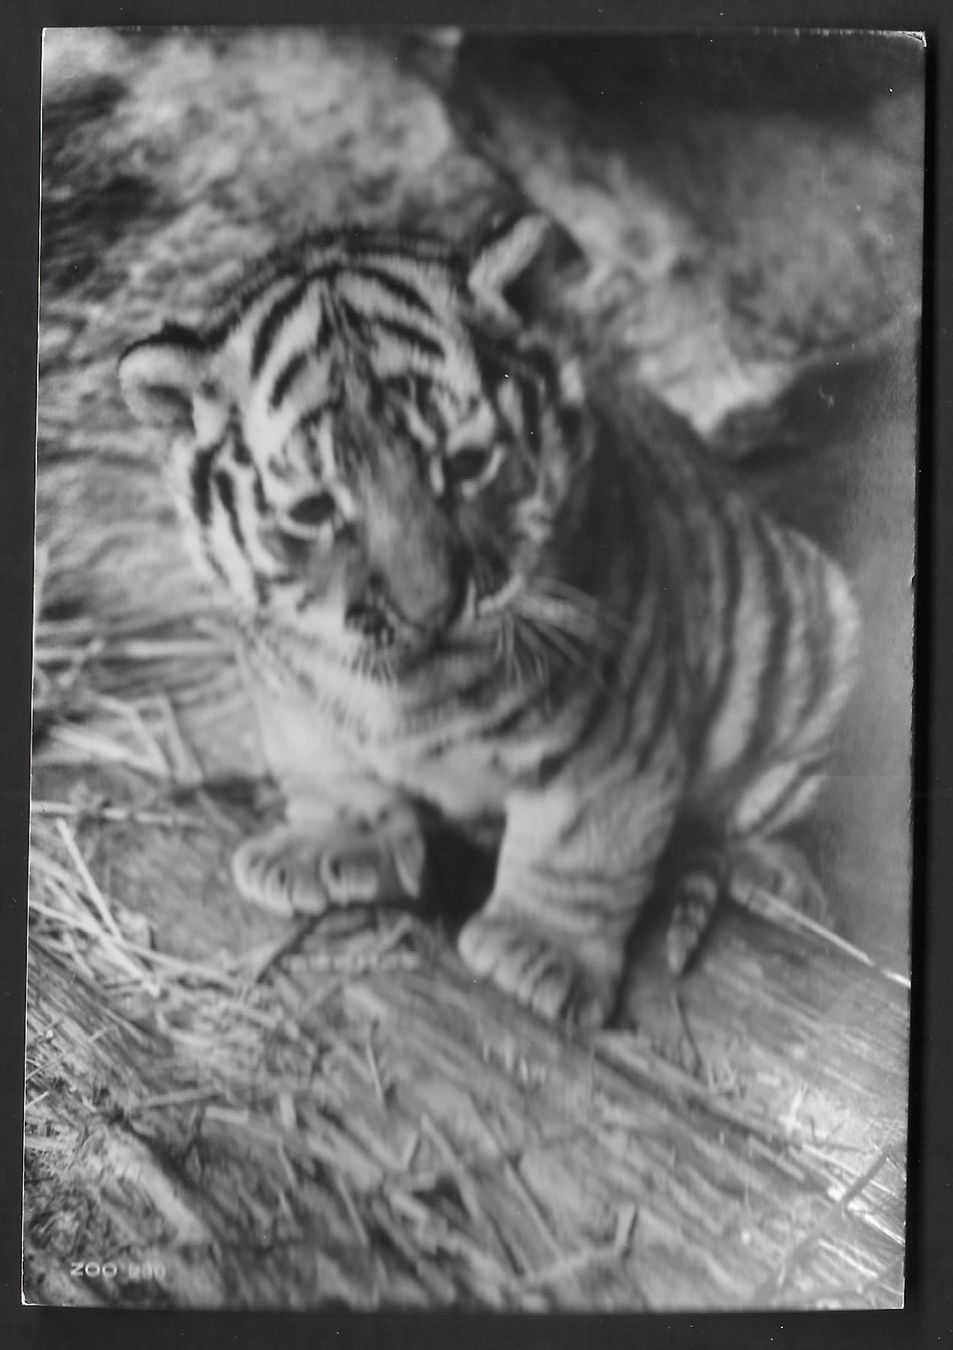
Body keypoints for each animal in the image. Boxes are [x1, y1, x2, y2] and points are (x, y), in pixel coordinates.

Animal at [117, 212, 860, 1029]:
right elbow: (328, 766)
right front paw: (327, 844)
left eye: (466, 464)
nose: (431, 607)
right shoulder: (289, 684)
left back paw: (776, 880)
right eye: (314, 510)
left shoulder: (611, 721)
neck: (407, 684)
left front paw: (540, 953)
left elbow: (577, 841)